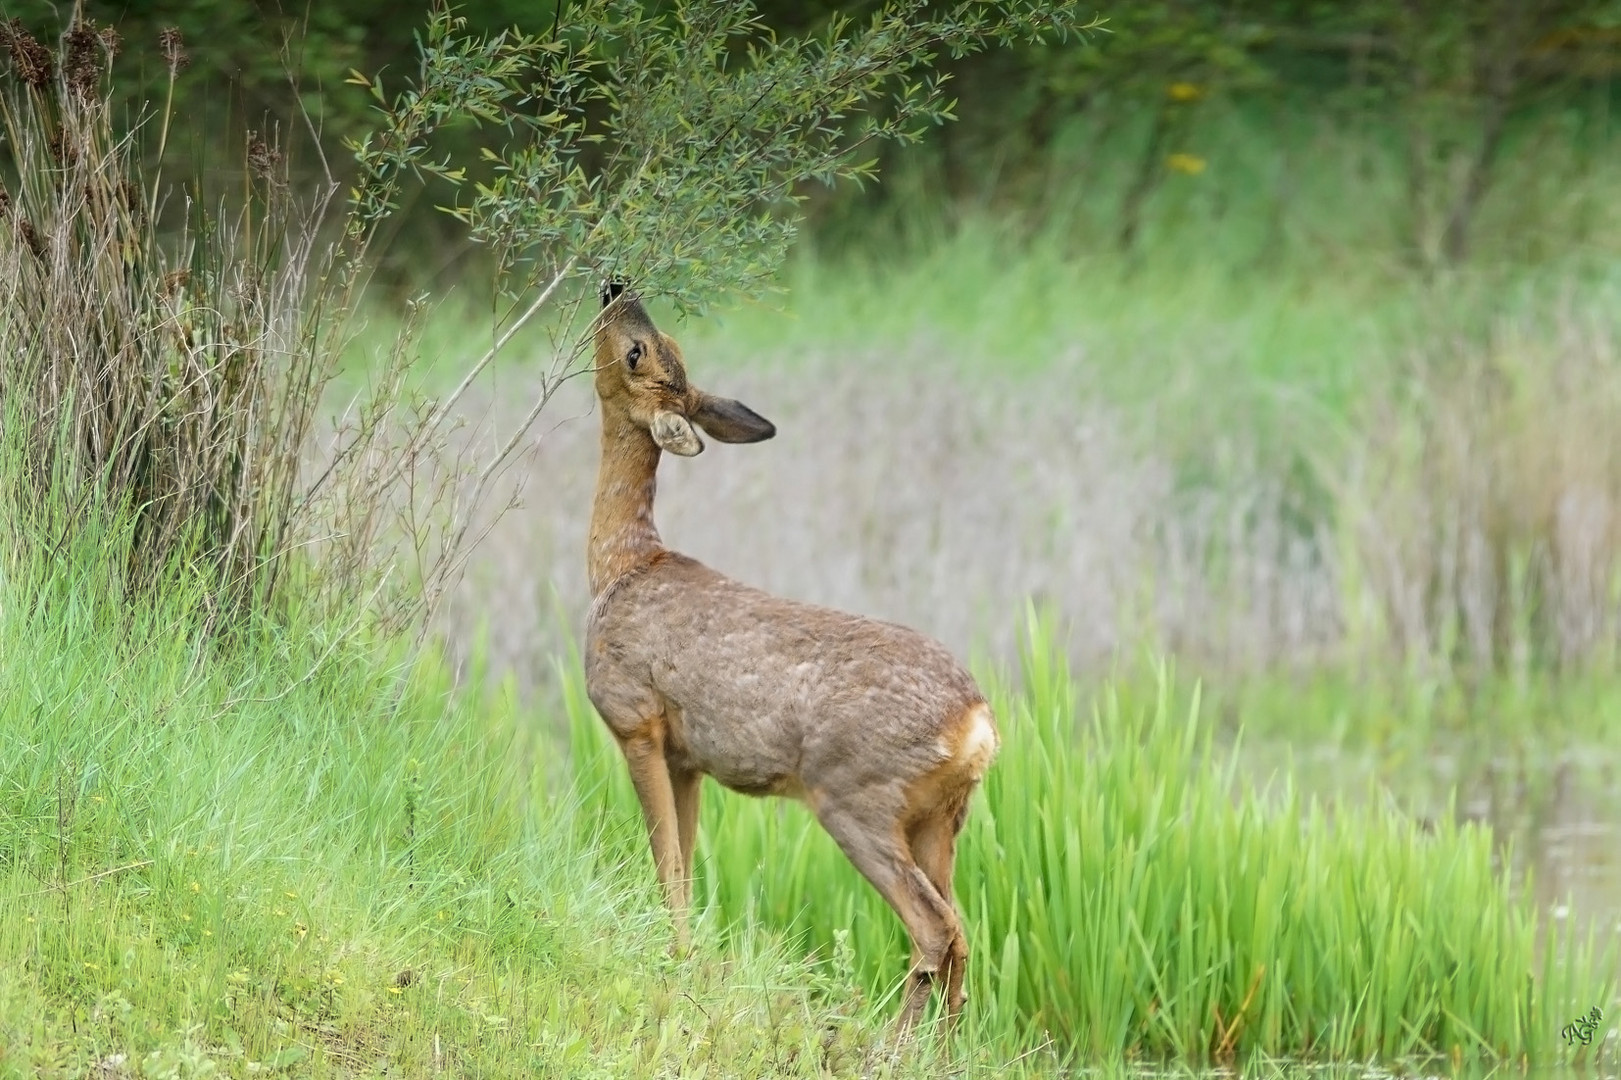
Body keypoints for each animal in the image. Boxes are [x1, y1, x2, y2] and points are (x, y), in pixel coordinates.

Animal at [583, 277, 998, 1024]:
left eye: (637, 352)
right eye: (661, 343)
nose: (617, 287)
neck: (622, 566)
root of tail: (978, 724)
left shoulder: (634, 717)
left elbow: (665, 863)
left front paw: (674, 961)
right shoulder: (688, 756)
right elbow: (684, 863)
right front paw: (685, 957)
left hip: (856, 797)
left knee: (934, 927)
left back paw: (896, 1038)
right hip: (942, 816)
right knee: (962, 930)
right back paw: (944, 1041)